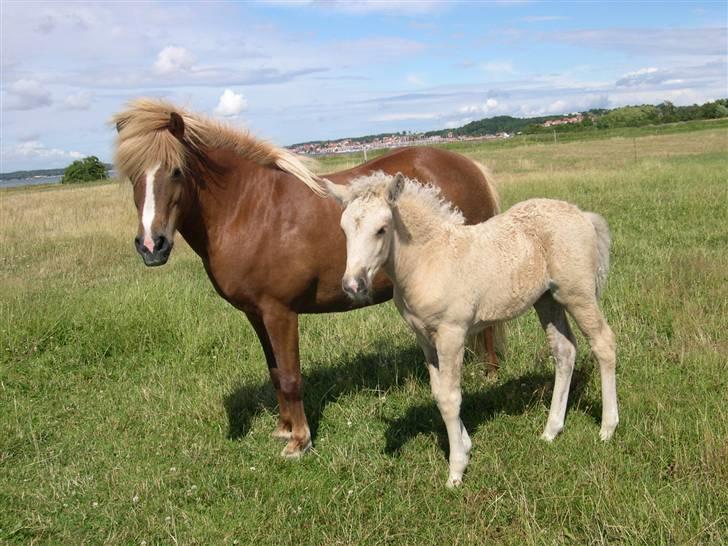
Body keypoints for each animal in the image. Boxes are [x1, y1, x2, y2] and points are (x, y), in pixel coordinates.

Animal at [114, 98, 504, 454]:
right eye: (132, 175)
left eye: (176, 171)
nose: (151, 245)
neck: (248, 210)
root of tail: (468, 165)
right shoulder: (256, 314)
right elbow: (275, 372)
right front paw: (283, 428)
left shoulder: (280, 312)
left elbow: (289, 376)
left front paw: (299, 441)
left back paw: (490, 377)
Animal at [328, 171, 616, 484]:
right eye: (343, 230)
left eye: (381, 229)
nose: (353, 285)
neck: (428, 259)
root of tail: (582, 214)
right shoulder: (425, 339)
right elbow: (439, 393)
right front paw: (465, 445)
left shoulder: (452, 334)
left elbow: (451, 397)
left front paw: (456, 469)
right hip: (547, 300)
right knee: (564, 351)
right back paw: (551, 430)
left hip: (577, 294)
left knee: (604, 344)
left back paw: (607, 428)